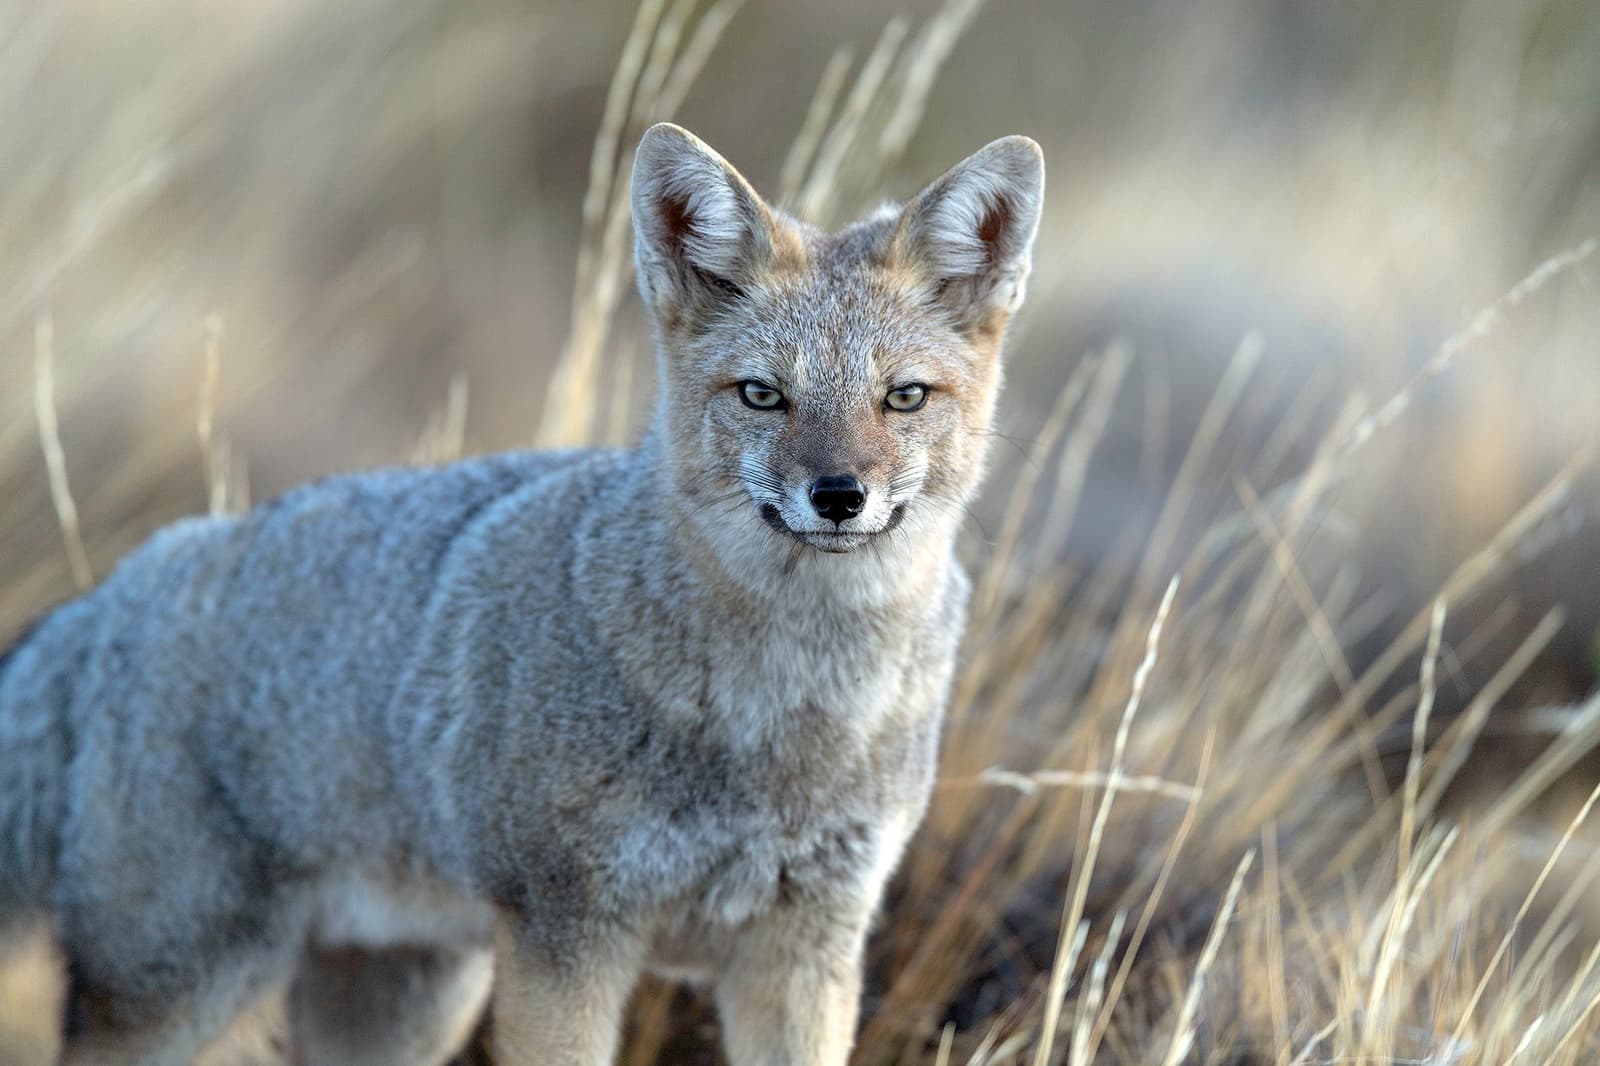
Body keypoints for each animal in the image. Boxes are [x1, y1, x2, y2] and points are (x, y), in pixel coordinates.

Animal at [0, 122, 1044, 1065]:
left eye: (903, 398)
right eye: (762, 395)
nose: (838, 496)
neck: (792, 719)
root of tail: (113, 592)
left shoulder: (807, 951)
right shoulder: (566, 937)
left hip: (406, 1009)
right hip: (177, 996)